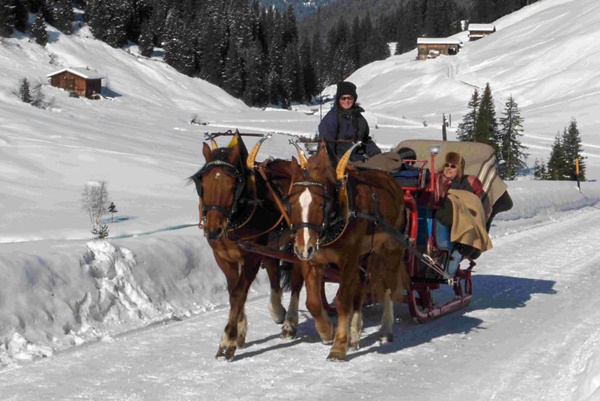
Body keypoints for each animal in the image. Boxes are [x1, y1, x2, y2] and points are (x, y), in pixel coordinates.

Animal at [191, 131, 304, 360]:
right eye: (202, 183)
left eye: (232, 186)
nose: (213, 230)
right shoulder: (223, 257)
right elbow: (234, 292)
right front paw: (240, 333)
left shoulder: (251, 257)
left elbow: (239, 294)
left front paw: (228, 341)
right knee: (273, 271)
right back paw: (277, 310)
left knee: (296, 280)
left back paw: (289, 322)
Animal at [284, 142, 408, 360]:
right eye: (291, 204)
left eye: (321, 203)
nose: (303, 248)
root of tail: (392, 183)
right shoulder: (314, 261)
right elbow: (313, 302)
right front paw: (327, 332)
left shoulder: (348, 260)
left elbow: (343, 301)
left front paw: (339, 346)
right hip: (364, 256)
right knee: (360, 288)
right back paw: (355, 334)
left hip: (391, 250)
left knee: (388, 287)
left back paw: (385, 330)